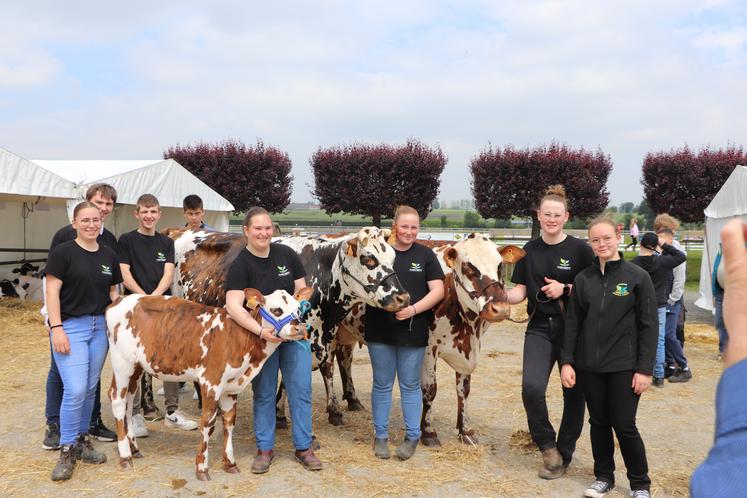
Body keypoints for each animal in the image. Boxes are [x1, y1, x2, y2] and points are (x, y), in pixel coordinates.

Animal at [104, 286, 312, 480]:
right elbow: (208, 424)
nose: (300, 328)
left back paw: (134, 448)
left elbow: (229, 422)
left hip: (136, 367)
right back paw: (125, 456)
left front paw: (230, 463)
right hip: (122, 363)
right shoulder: (210, 383)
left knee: (128, 402)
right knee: (117, 399)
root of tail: (121, 299)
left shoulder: (231, 387)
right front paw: (202, 467)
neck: (237, 336)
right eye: (277, 310)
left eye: (298, 309)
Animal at [165, 226, 410, 424]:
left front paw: (332, 411)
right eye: (369, 259)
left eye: (392, 258)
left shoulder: (326, 339)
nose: (403, 297)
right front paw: (280, 414)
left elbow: (326, 369)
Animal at [328, 235, 524, 446]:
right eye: (468, 267)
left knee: (344, 360)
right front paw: (428, 432)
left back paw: (353, 400)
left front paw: (465, 430)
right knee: (328, 368)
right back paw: (334, 412)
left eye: (500, 265)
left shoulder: (468, 350)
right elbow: (430, 389)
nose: (500, 309)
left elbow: (463, 390)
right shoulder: (429, 348)